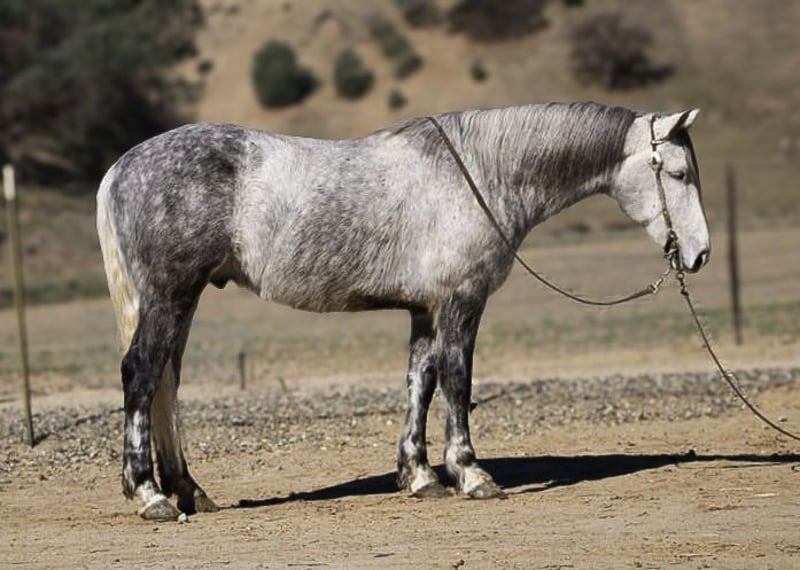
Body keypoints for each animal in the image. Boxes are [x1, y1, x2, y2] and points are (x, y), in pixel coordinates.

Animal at [96, 101, 709, 521]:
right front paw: (471, 474)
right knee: (141, 374)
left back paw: (188, 490)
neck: (482, 172)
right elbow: (458, 383)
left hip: (181, 300)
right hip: (170, 296)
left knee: (166, 382)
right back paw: (150, 495)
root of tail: (120, 167)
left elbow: (422, 382)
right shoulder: (462, 301)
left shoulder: (424, 309)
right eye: (679, 173)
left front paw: (419, 476)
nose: (700, 254)